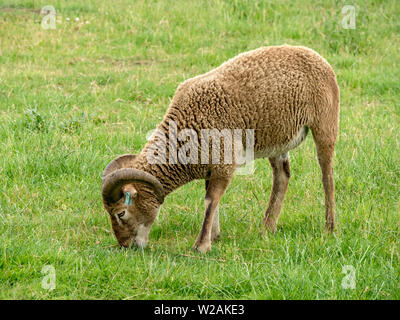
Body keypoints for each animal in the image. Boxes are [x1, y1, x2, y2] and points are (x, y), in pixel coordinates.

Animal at [101, 44, 340, 252]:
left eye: (121, 213)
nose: (125, 246)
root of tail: (317, 57)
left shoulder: (224, 163)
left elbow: (210, 200)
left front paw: (201, 246)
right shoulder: (211, 166)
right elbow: (211, 200)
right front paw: (214, 236)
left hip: (325, 124)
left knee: (327, 176)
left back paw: (329, 228)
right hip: (277, 140)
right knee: (282, 176)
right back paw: (267, 227)